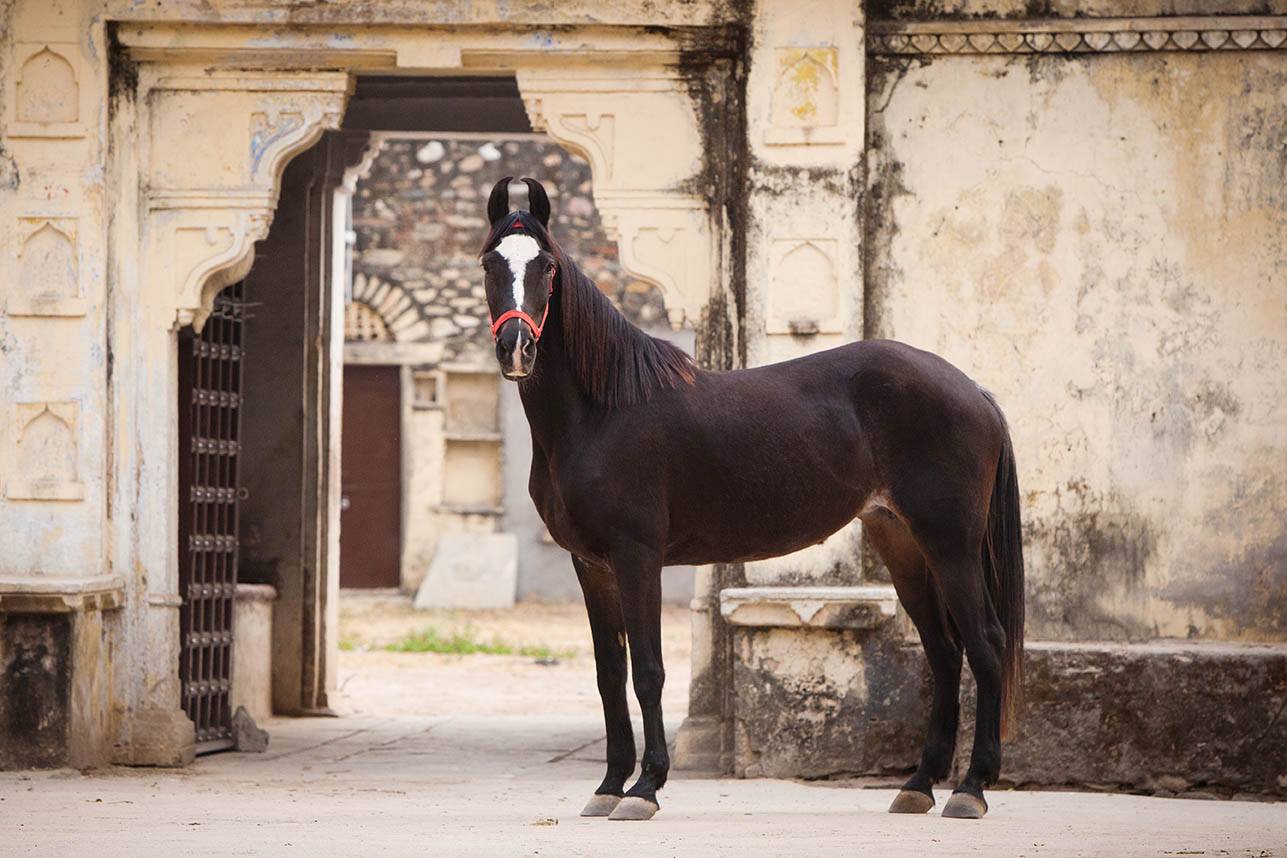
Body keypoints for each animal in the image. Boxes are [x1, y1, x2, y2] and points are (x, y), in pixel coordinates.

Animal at [478, 176, 1025, 822]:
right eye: (490, 263)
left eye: (547, 267)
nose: (516, 348)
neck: (601, 413)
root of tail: (974, 390)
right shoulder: (592, 565)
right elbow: (609, 674)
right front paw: (609, 786)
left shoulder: (637, 558)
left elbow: (649, 673)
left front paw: (645, 788)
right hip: (902, 542)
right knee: (943, 651)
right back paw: (918, 786)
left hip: (951, 544)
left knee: (985, 646)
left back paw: (971, 789)